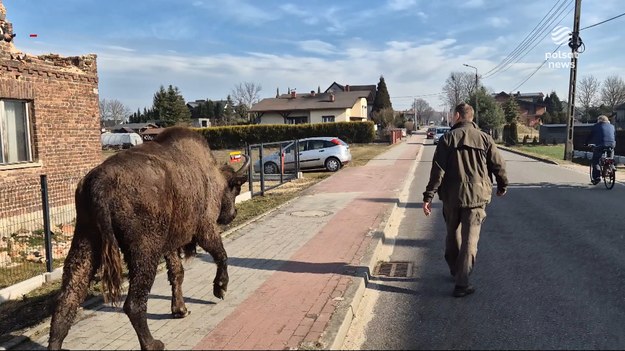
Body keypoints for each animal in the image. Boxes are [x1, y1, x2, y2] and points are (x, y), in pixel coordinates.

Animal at [47, 127, 250, 351]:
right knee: (134, 303)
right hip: (144, 250)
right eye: (235, 189)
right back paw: (153, 343)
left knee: (68, 298)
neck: (212, 175)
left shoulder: (170, 245)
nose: (232, 214)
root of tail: (100, 183)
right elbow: (221, 255)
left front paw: (180, 309)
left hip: (86, 240)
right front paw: (220, 288)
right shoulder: (205, 229)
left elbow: (177, 274)